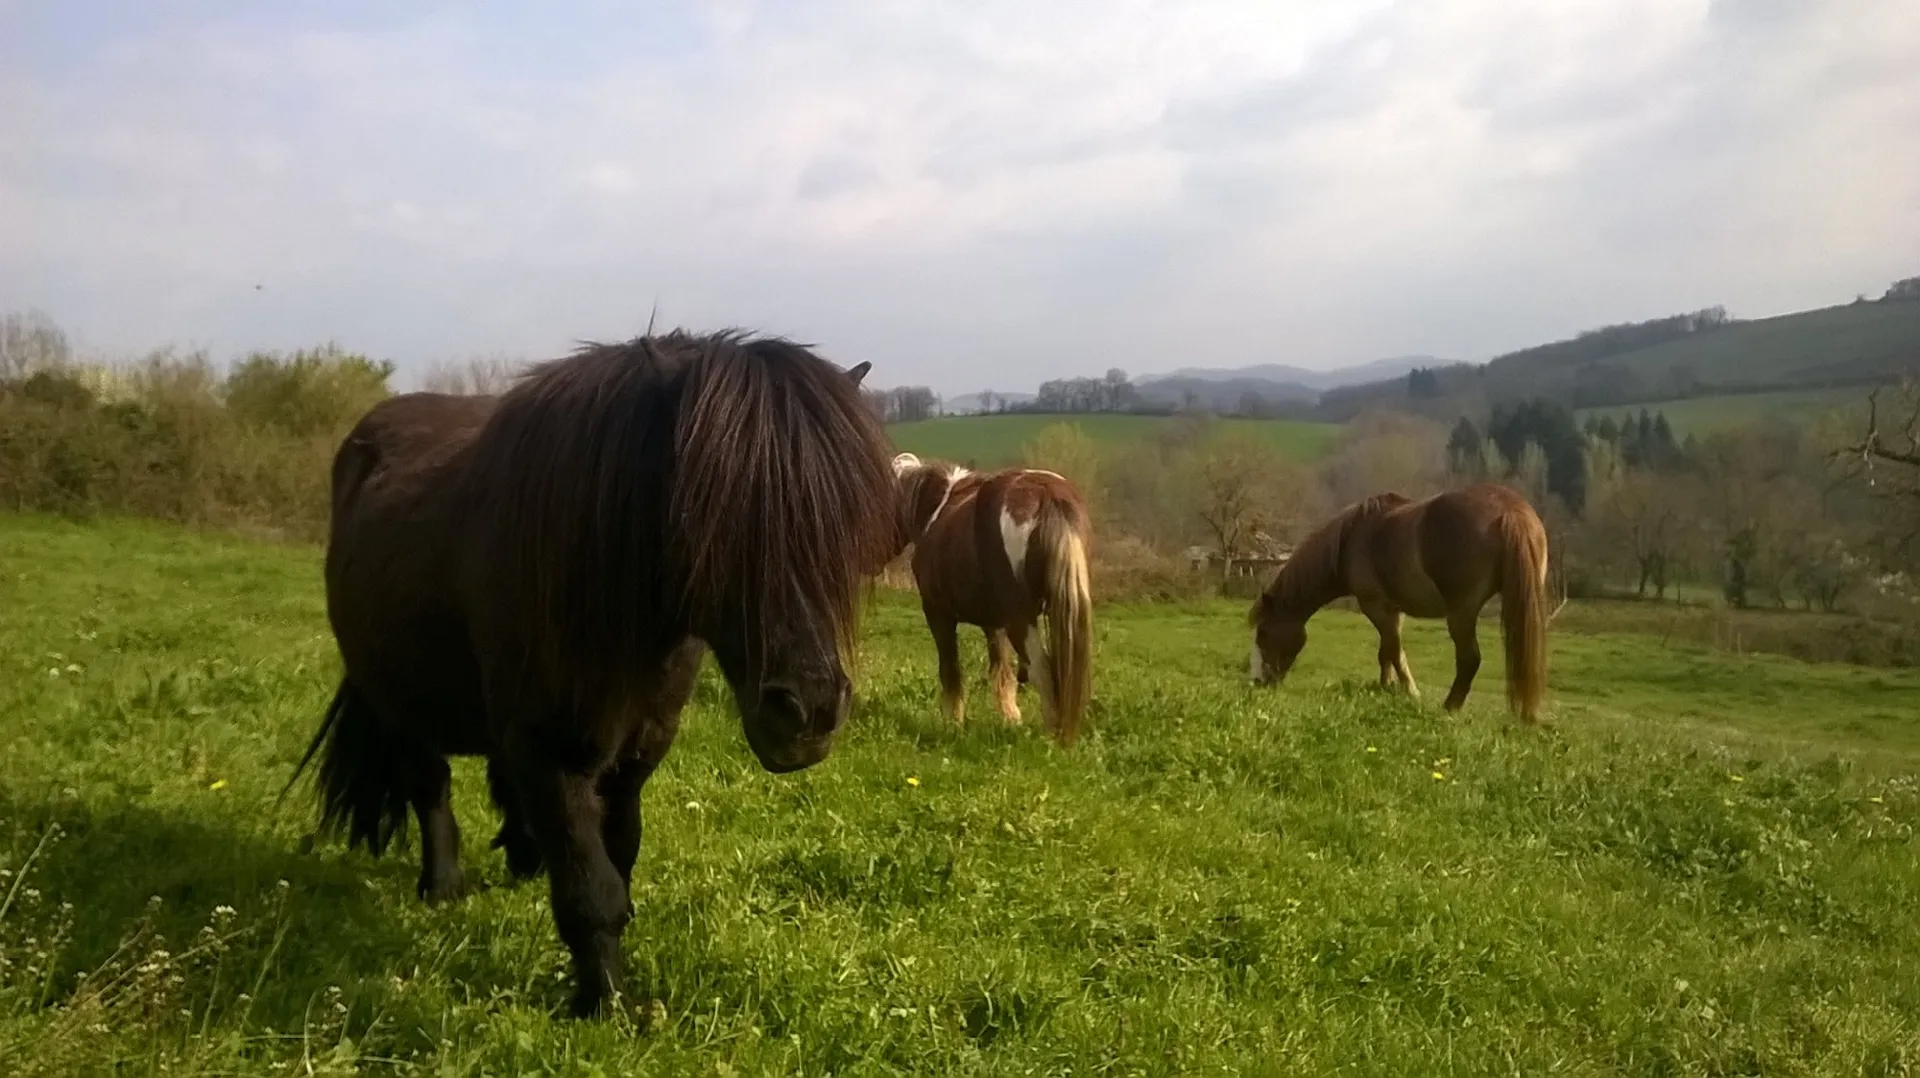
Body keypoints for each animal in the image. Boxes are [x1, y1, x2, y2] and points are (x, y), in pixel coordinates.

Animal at [286, 328, 898, 1018]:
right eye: (708, 519)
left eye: (843, 527)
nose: (808, 715)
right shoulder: (551, 751)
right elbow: (589, 886)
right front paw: (606, 1005)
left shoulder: (638, 749)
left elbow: (619, 855)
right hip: (400, 706)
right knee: (430, 786)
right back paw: (443, 886)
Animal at [889, 453, 1094, 744]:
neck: (936, 509)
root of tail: (1045, 496)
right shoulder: (994, 624)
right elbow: (1002, 674)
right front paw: (1011, 719)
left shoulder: (938, 614)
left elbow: (951, 672)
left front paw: (953, 723)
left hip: (1021, 619)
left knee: (1042, 670)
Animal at [1246, 482, 1553, 723]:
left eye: (1263, 633)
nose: (1258, 682)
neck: (1352, 538)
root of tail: (1509, 511)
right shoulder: (1394, 609)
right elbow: (1386, 651)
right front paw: (1386, 686)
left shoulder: (1376, 606)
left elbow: (1394, 652)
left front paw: (1410, 693)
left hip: (1461, 613)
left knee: (1469, 659)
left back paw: (1449, 708)